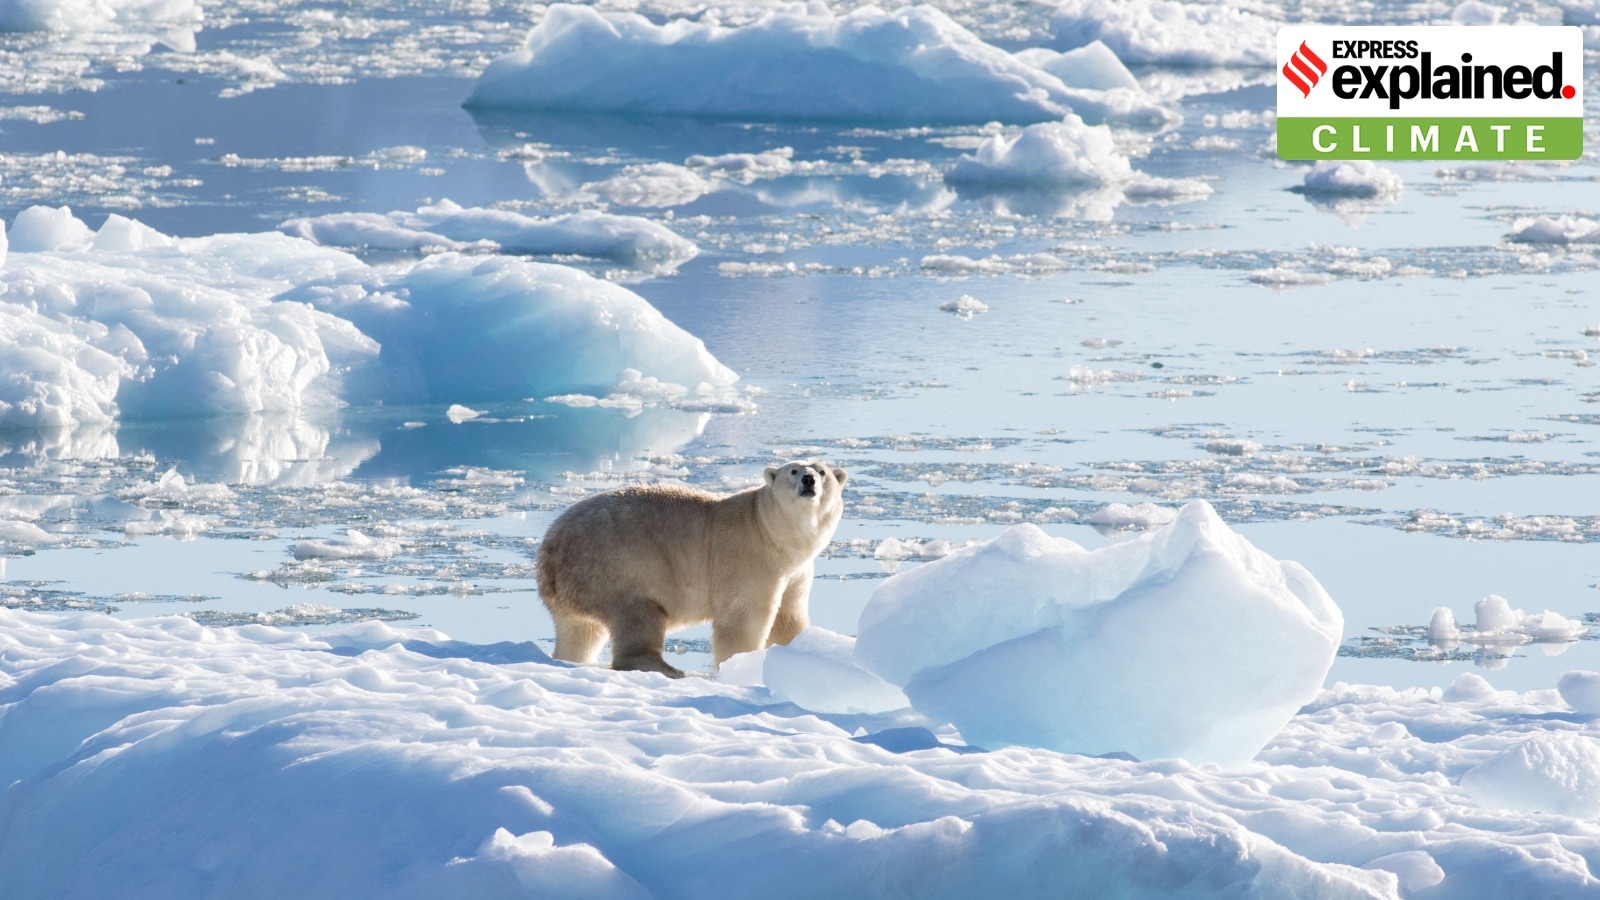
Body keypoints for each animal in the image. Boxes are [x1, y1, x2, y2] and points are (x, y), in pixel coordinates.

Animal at [535, 460, 847, 678]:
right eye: (793, 470)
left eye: (822, 471)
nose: (808, 479)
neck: (770, 531)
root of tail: (549, 549)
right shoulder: (748, 557)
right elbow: (743, 619)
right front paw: (741, 665)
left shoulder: (797, 572)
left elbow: (788, 618)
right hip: (616, 564)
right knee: (637, 613)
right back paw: (667, 668)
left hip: (577, 586)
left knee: (579, 631)